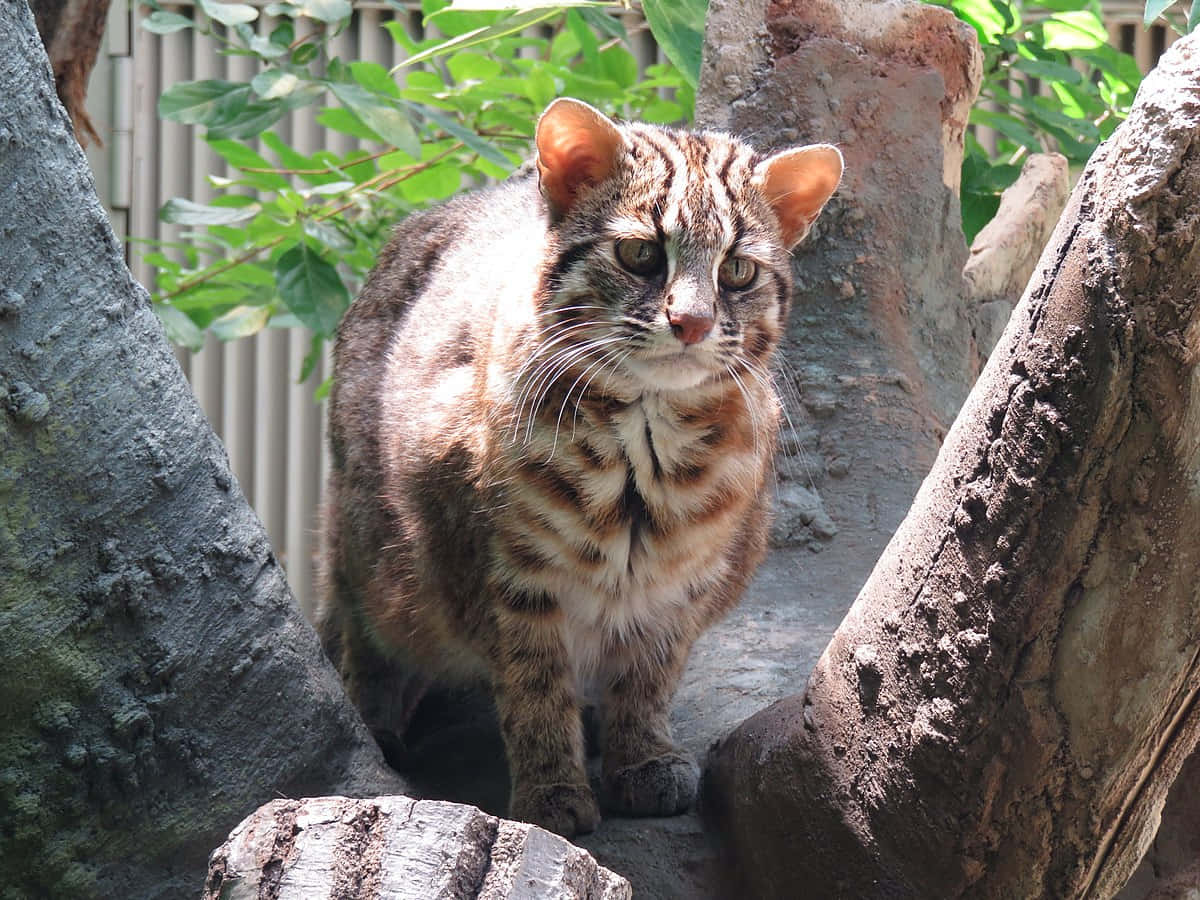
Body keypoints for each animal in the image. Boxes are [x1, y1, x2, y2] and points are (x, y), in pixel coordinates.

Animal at [319, 98, 844, 840]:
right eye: (640, 253)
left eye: (738, 270)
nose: (691, 323)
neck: (643, 445)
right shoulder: (506, 575)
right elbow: (535, 685)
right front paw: (552, 788)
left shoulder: (682, 586)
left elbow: (651, 677)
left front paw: (641, 757)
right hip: (369, 548)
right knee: (363, 633)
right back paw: (380, 722)